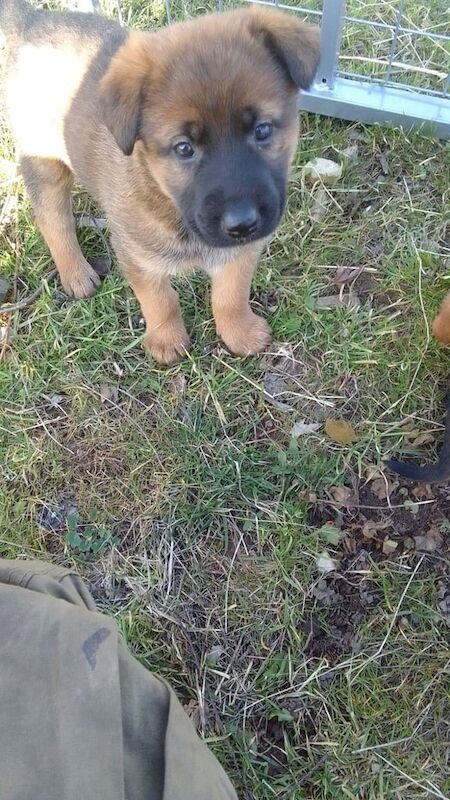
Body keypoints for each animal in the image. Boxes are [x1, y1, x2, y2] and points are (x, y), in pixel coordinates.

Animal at [1, 1, 322, 364]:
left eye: (262, 130)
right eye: (184, 148)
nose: (242, 223)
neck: (169, 202)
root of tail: (34, 20)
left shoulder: (241, 251)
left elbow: (230, 294)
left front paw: (239, 331)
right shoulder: (137, 256)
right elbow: (160, 300)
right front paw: (167, 340)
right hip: (44, 163)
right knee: (52, 219)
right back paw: (76, 273)